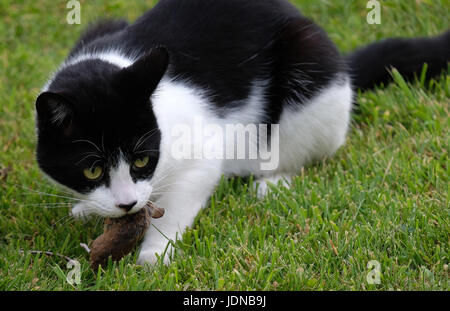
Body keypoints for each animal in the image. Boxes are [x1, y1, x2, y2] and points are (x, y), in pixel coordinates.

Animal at [36, 0, 450, 266]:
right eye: (92, 170)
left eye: (141, 160)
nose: (127, 204)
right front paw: (87, 208)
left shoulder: (201, 152)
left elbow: (181, 201)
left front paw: (154, 254)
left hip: (311, 66)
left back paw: (273, 183)